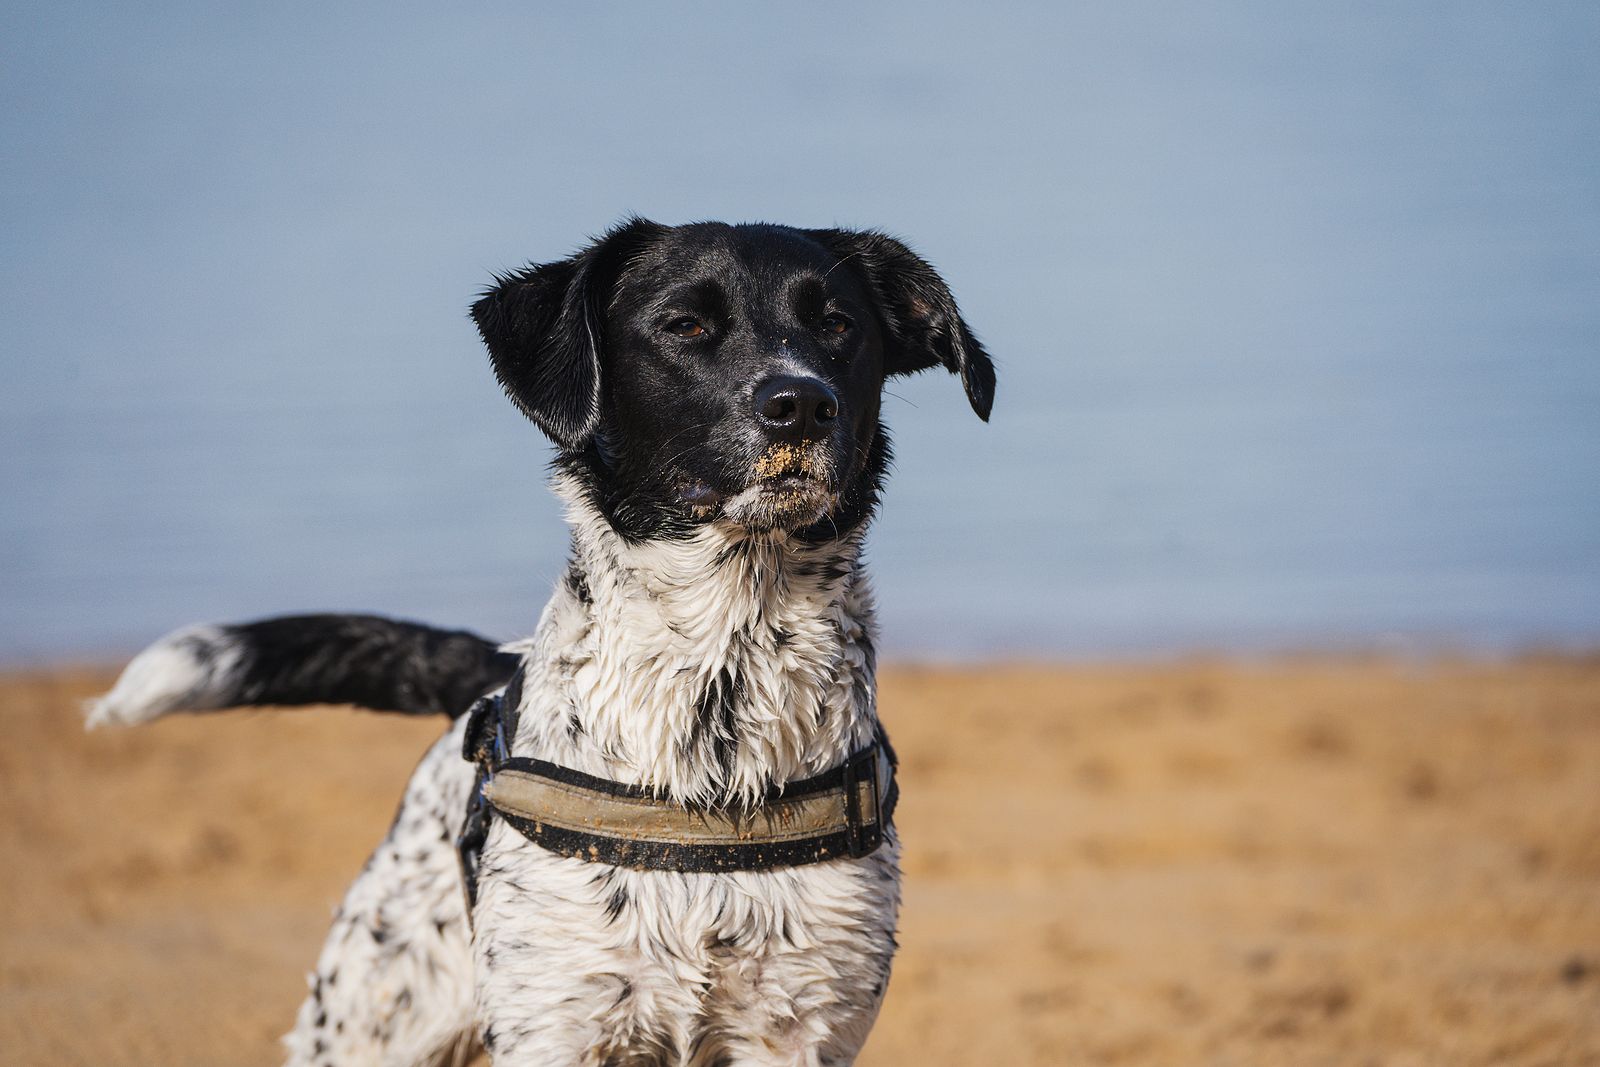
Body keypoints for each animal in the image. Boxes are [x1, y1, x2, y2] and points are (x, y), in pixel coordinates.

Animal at [87, 219, 992, 1067]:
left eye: (838, 325)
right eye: (685, 325)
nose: (802, 403)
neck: (717, 693)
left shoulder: (797, 1024)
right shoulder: (562, 1020)